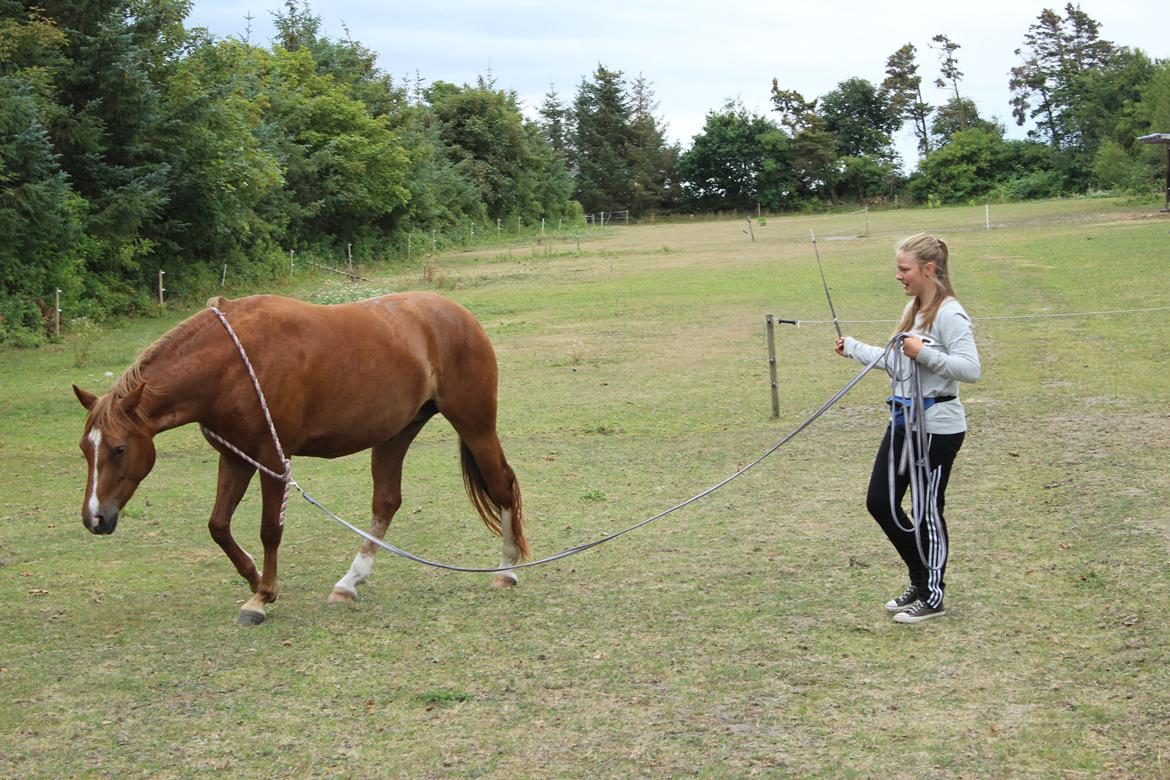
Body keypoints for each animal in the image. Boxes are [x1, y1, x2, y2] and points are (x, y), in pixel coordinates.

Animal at [73, 291, 531, 622]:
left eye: (118, 448)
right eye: (84, 449)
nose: (95, 518)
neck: (231, 366)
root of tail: (459, 315)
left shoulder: (274, 460)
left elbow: (269, 530)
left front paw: (261, 598)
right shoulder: (236, 457)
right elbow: (218, 526)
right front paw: (254, 577)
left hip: (474, 423)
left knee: (502, 484)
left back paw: (506, 570)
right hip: (396, 434)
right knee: (386, 502)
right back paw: (349, 582)